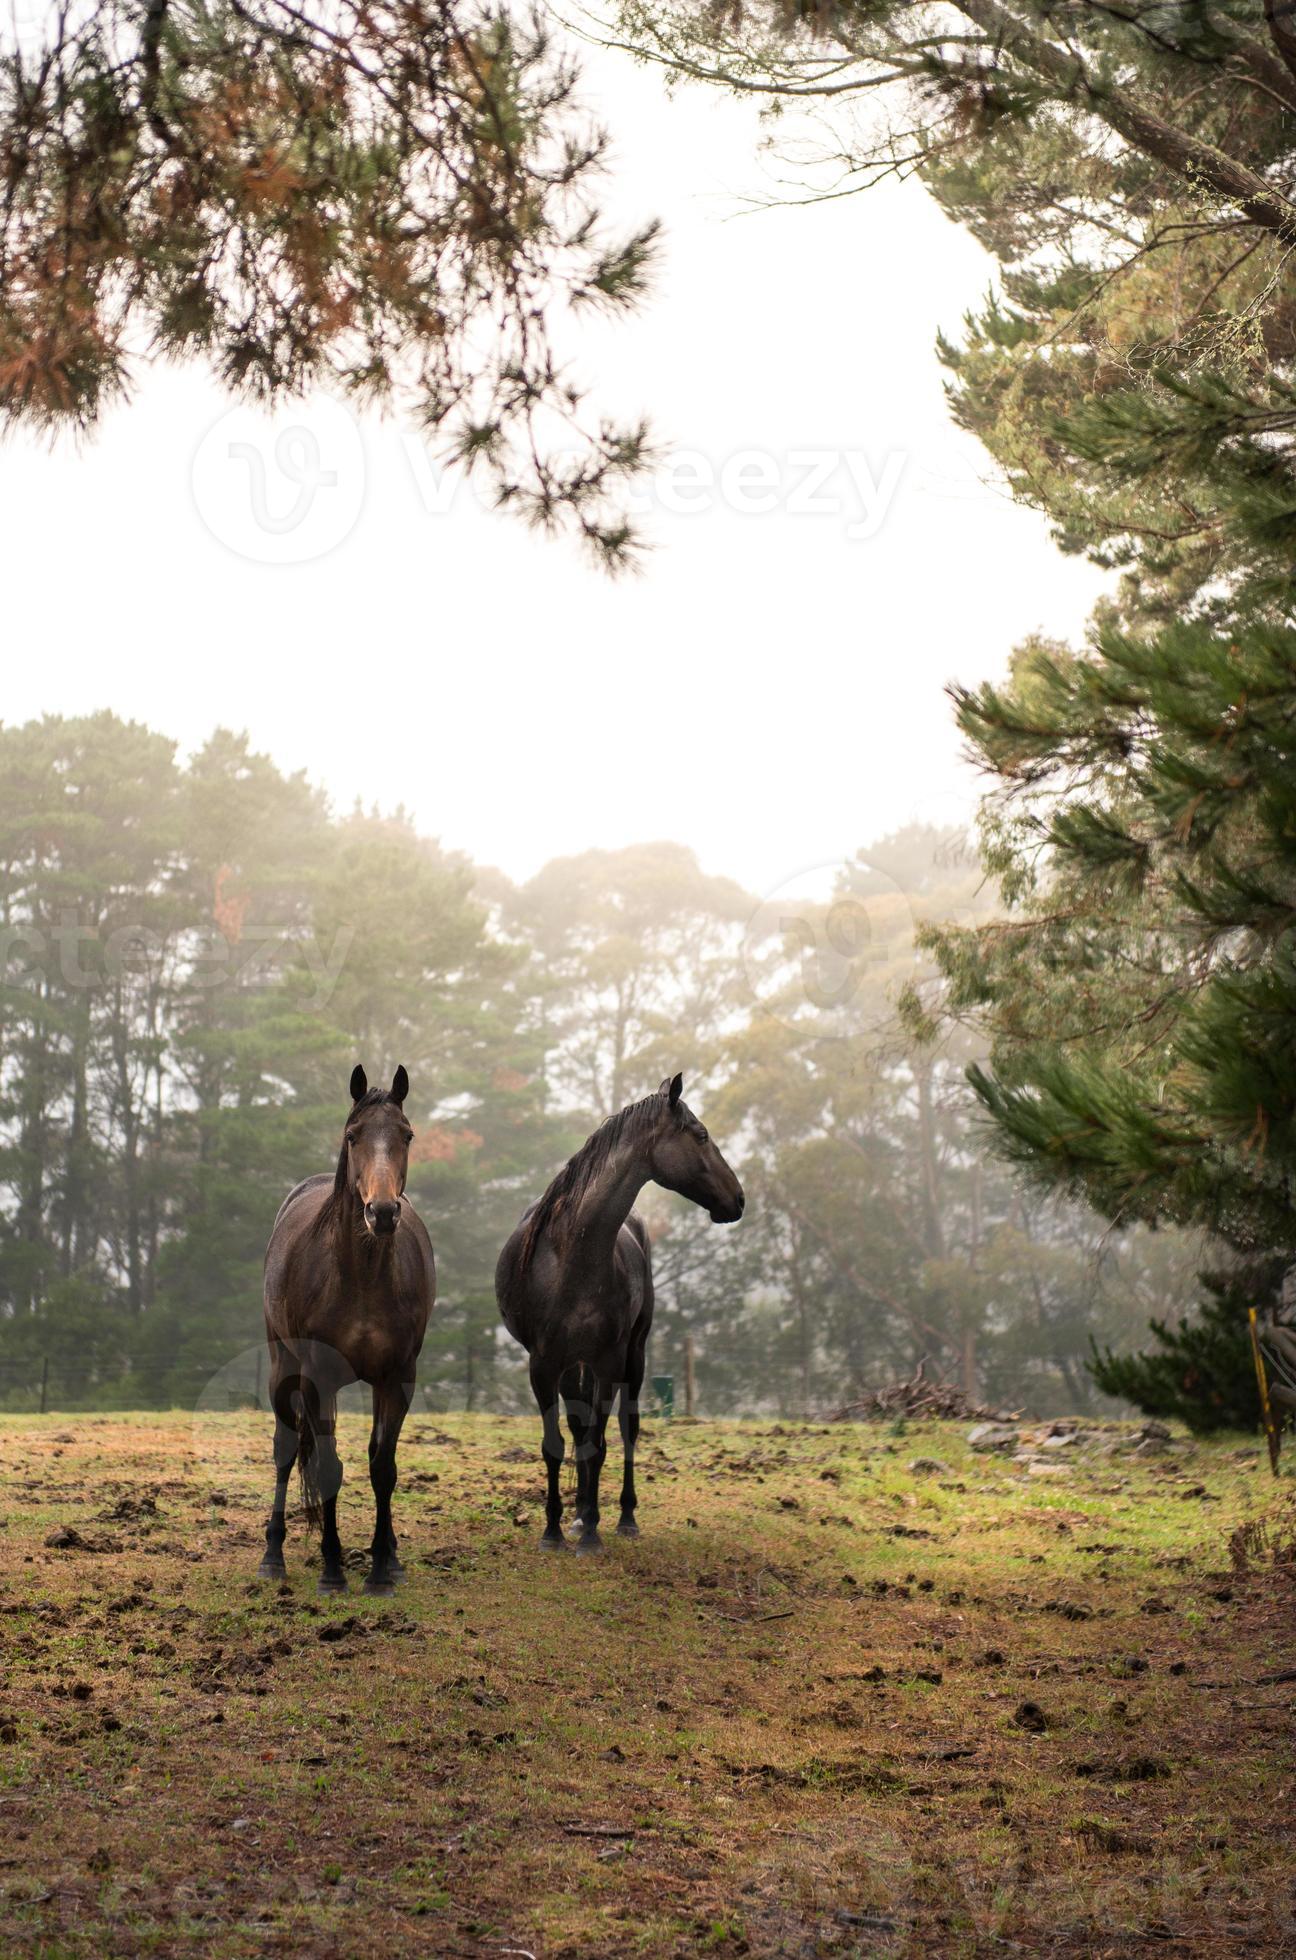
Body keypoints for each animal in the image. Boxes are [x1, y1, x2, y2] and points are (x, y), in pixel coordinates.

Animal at [260, 1074, 435, 1591]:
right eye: (353, 1135)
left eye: (407, 1135)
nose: (382, 1212)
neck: (361, 1278)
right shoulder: (319, 1378)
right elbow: (328, 1465)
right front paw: (333, 1568)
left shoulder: (398, 1378)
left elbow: (383, 1466)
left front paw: (380, 1570)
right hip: (283, 1367)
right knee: (285, 1449)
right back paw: (272, 1555)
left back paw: (390, 1554)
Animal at [496, 1081, 741, 1552]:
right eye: (701, 1135)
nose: (738, 1198)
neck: (572, 1257)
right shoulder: (543, 1364)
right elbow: (557, 1443)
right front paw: (554, 1531)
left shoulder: (609, 1361)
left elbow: (600, 1442)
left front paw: (592, 1533)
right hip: (574, 1365)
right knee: (578, 1427)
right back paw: (575, 1516)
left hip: (633, 1354)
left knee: (627, 1428)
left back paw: (624, 1517)